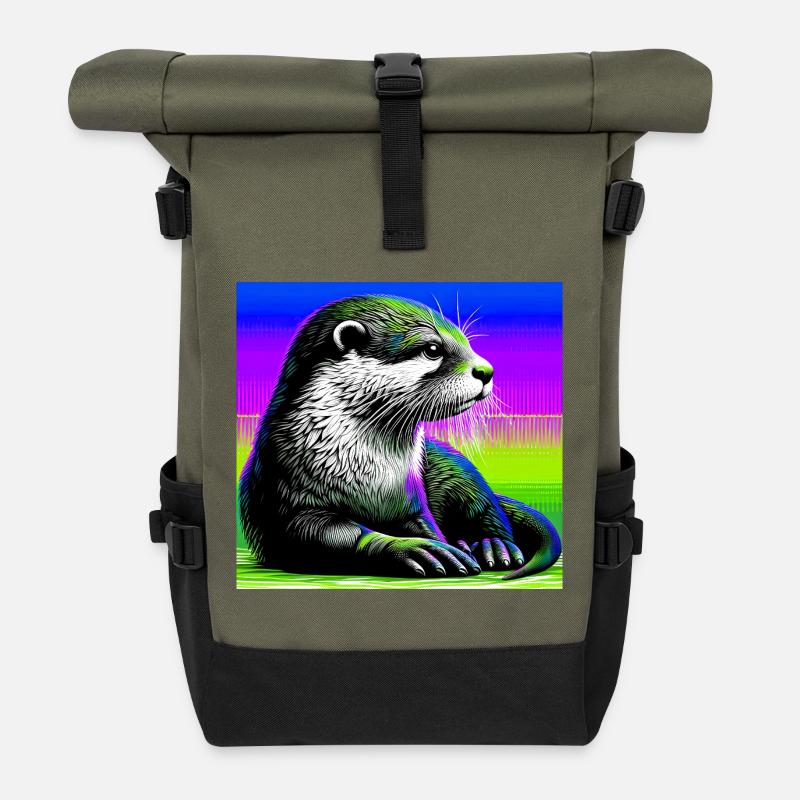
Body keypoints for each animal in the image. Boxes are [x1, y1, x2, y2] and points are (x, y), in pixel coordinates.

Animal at [238, 295, 561, 580]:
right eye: (433, 348)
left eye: (467, 342)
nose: (486, 370)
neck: (367, 476)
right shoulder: (285, 495)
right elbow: (330, 534)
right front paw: (413, 549)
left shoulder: (412, 500)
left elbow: (429, 525)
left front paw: (446, 544)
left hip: (457, 469)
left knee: (484, 502)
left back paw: (493, 545)